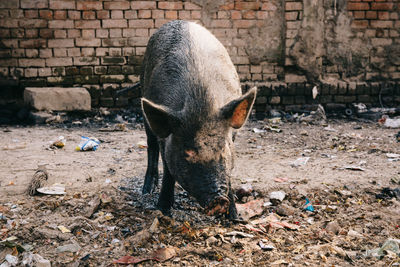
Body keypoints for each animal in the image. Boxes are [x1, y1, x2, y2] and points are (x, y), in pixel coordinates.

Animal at [139, 20, 255, 222]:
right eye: (188, 152)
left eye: (223, 148)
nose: (218, 199)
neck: (201, 104)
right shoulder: (166, 138)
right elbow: (168, 170)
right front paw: (162, 209)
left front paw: (234, 218)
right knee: (151, 146)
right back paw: (147, 190)